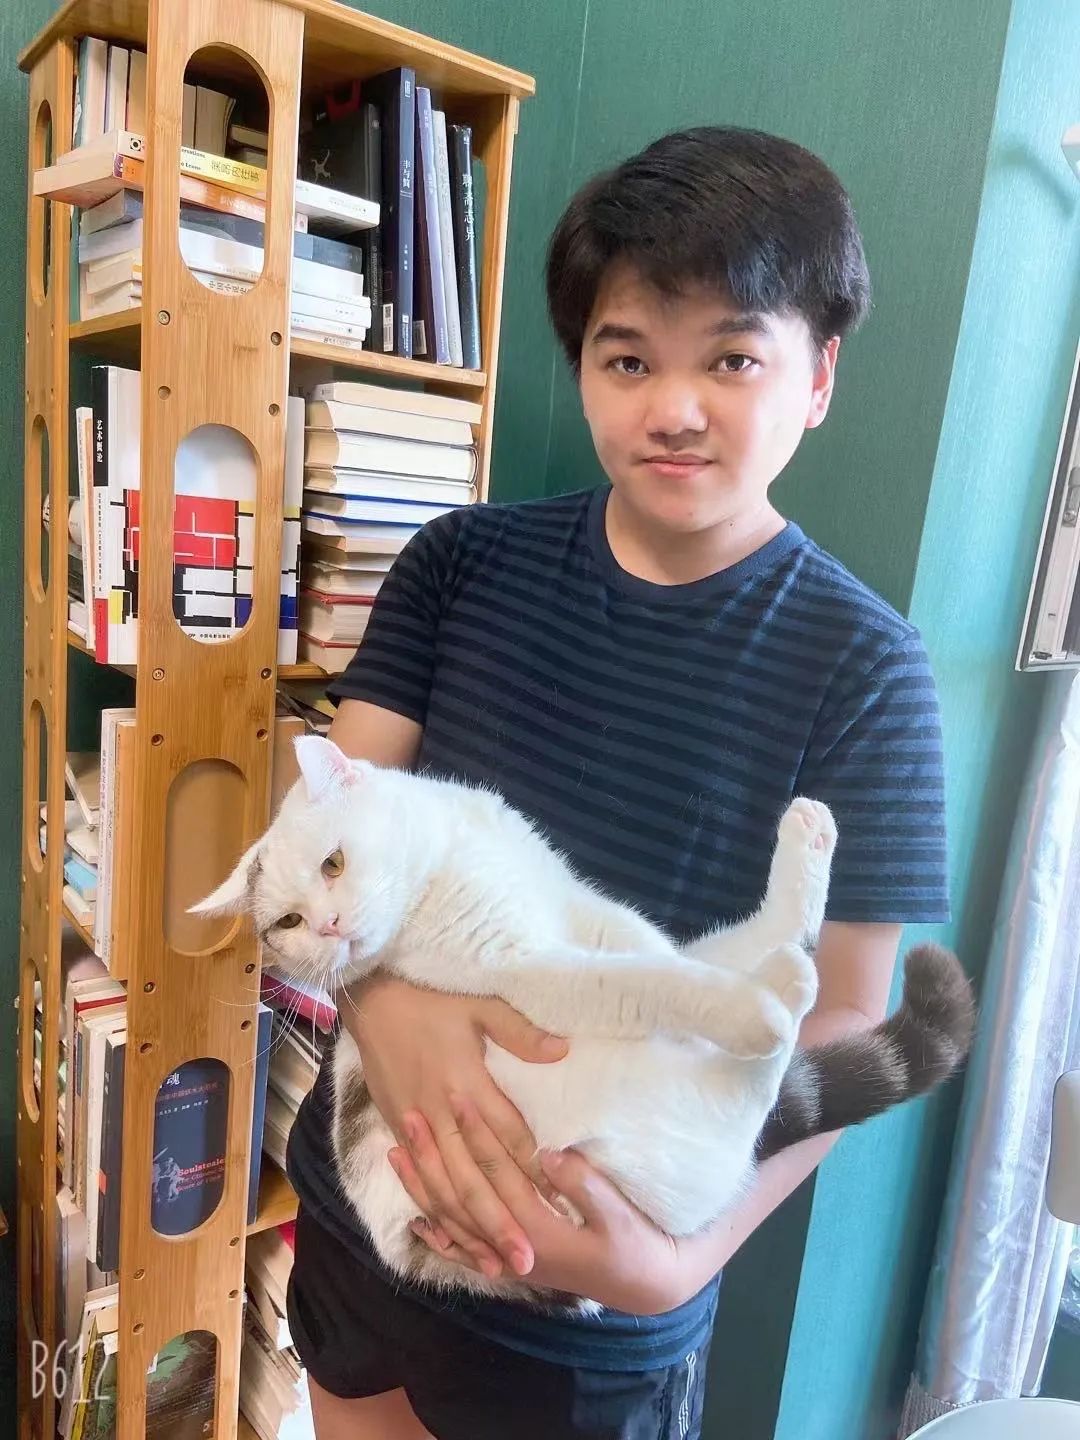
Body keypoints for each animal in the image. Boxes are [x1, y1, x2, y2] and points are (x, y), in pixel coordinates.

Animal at [195, 735, 974, 1309]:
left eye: (333, 864)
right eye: (287, 923)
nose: (326, 927)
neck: (448, 865)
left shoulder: (587, 912)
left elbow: (662, 954)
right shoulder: (538, 974)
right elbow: (650, 982)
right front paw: (743, 1008)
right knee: (756, 1085)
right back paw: (781, 995)